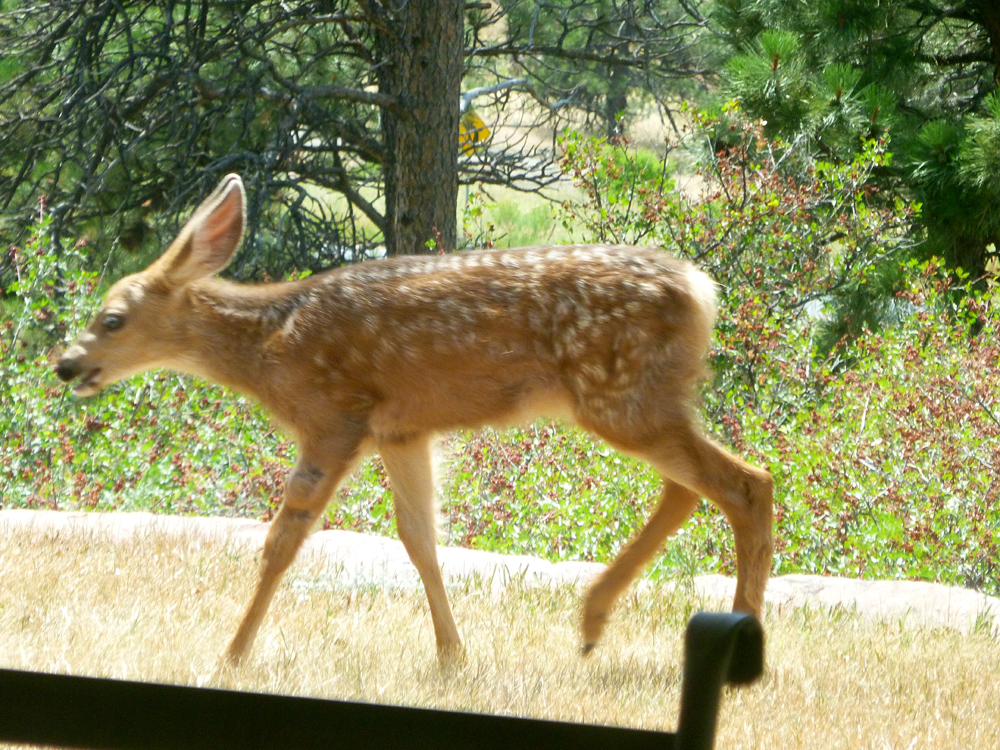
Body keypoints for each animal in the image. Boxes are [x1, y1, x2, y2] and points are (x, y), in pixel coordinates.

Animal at [54, 174, 773, 666]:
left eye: (112, 318)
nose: (66, 364)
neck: (269, 345)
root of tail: (701, 290)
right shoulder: (401, 431)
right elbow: (420, 539)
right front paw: (453, 656)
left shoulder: (335, 416)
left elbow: (283, 541)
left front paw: (231, 656)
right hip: (640, 400)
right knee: (693, 487)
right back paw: (595, 621)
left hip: (619, 395)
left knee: (745, 482)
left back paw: (732, 636)